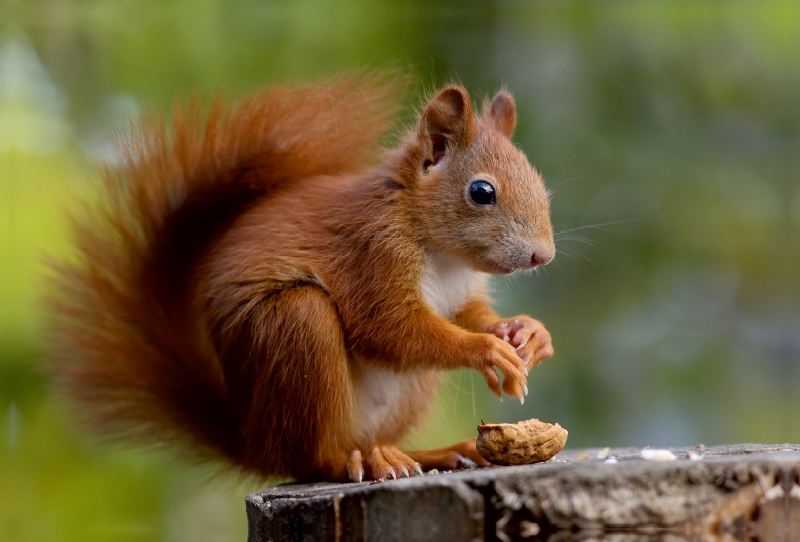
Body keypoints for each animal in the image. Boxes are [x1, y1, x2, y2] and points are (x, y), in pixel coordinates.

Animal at [47, 73, 552, 484]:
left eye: (541, 184)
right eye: (481, 192)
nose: (542, 256)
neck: (444, 255)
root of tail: (255, 441)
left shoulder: (459, 293)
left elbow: (471, 314)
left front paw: (527, 333)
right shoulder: (372, 256)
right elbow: (388, 330)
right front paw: (488, 350)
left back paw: (428, 453)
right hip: (295, 329)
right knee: (311, 459)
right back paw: (357, 461)